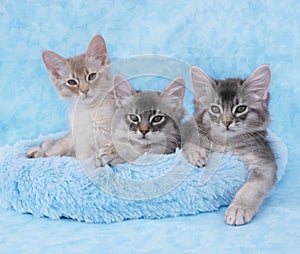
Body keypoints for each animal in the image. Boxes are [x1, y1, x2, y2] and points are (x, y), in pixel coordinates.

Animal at [184, 64, 278, 225]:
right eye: (215, 109)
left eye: (241, 108)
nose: (227, 122)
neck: (226, 144)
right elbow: (189, 142)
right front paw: (197, 153)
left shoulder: (264, 163)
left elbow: (250, 188)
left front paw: (238, 209)